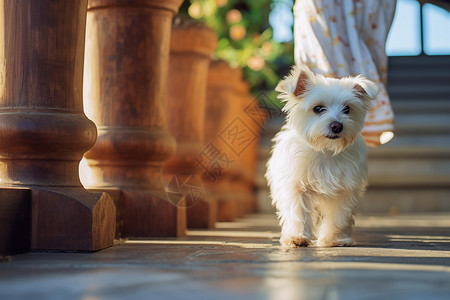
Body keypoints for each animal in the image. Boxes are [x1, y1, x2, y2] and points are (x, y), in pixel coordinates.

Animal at [266, 65, 378, 248]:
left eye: (347, 109)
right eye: (318, 108)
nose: (337, 125)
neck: (325, 150)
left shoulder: (344, 189)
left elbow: (339, 216)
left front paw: (335, 239)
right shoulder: (296, 187)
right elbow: (298, 213)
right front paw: (297, 237)